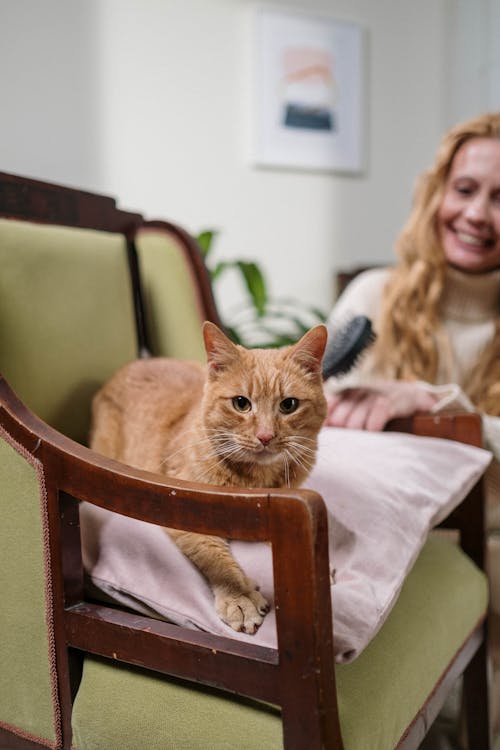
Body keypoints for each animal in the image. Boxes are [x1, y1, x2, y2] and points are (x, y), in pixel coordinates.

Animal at [90, 324, 328, 636]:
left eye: (289, 405)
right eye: (241, 404)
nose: (265, 436)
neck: (256, 482)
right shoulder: (181, 510)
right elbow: (214, 558)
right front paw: (239, 597)